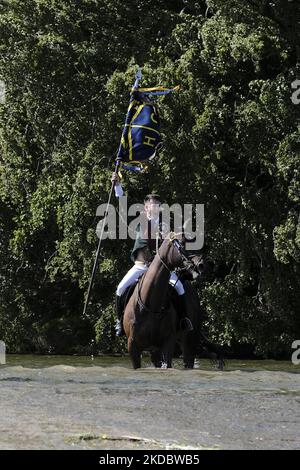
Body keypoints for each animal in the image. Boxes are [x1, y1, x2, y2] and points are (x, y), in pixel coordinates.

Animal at [122, 233, 223, 370]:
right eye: (183, 243)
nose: (202, 266)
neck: (151, 305)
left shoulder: (167, 344)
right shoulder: (133, 346)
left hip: (188, 342)